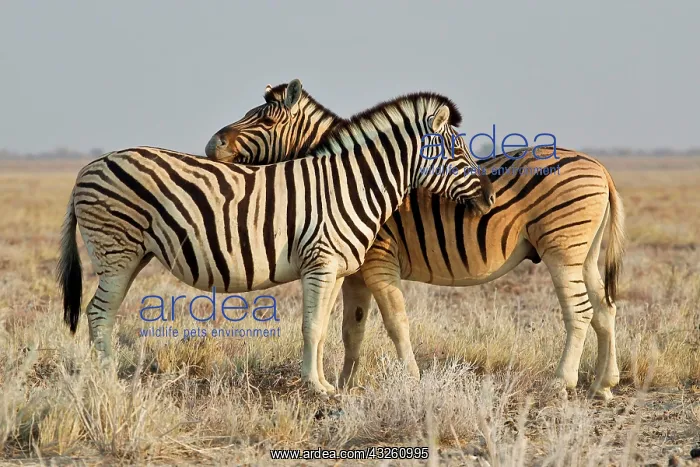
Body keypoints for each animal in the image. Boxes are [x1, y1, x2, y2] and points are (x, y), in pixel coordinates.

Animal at [57, 91, 495, 395]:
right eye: (459, 151)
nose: (489, 197)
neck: (353, 186)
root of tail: (89, 167)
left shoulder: (335, 269)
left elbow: (322, 326)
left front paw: (324, 384)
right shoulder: (320, 262)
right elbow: (312, 325)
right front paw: (316, 388)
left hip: (132, 255)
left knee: (104, 313)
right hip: (117, 250)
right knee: (98, 313)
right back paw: (108, 380)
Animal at [206, 80, 625, 400]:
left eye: (264, 119)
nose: (212, 145)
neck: (345, 181)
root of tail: (600, 167)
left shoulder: (378, 261)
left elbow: (395, 323)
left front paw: (408, 381)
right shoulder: (354, 272)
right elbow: (352, 330)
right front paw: (345, 385)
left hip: (561, 249)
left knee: (580, 312)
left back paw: (561, 383)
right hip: (585, 254)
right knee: (604, 309)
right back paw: (603, 385)